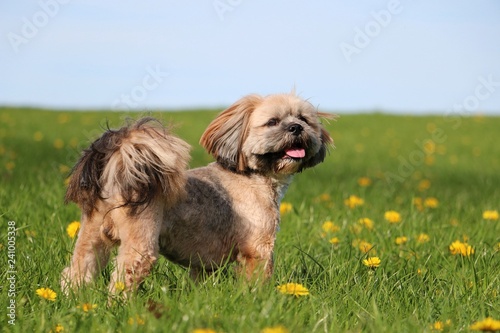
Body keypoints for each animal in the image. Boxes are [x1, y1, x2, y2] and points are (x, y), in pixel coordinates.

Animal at [60, 92, 332, 292]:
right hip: (140, 245)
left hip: (91, 237)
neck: (252, 176)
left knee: (75, 272)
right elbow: (255, 283)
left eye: (304, 119)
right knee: (121, 280)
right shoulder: (259, 249)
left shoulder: (202, 262)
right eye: (273, 122)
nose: (296, 128)